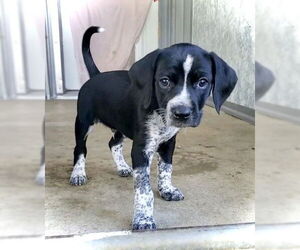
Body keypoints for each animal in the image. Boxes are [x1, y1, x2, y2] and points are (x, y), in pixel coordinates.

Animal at [69, 26, 238, 229]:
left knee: (113, 144)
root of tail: (96, 76)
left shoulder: (168, 143)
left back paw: (122, 167)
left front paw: (167, 189)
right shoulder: (141, 148)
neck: (159, 113)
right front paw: (143, 218)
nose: (181, 113)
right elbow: (143, 188)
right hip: (83, 123)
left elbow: (166, 169)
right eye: (164, 81)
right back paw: (78, 173)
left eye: (203, 82)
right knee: (80, 149)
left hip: (120, 124)